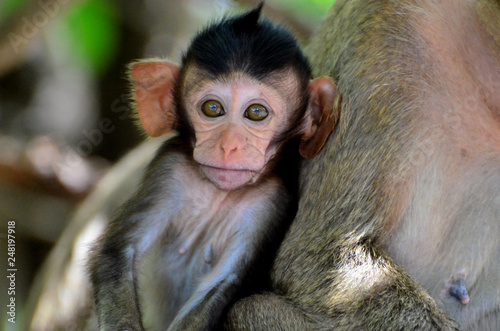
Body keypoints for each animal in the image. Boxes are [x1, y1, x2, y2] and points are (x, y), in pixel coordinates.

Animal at [90, 5, 340, 331]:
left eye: (256, 112)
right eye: (212, 109)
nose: (228, 145)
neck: (219, 193)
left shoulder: (271, 202)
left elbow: (224, 283)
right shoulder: (169, 170)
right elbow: (118, 253)